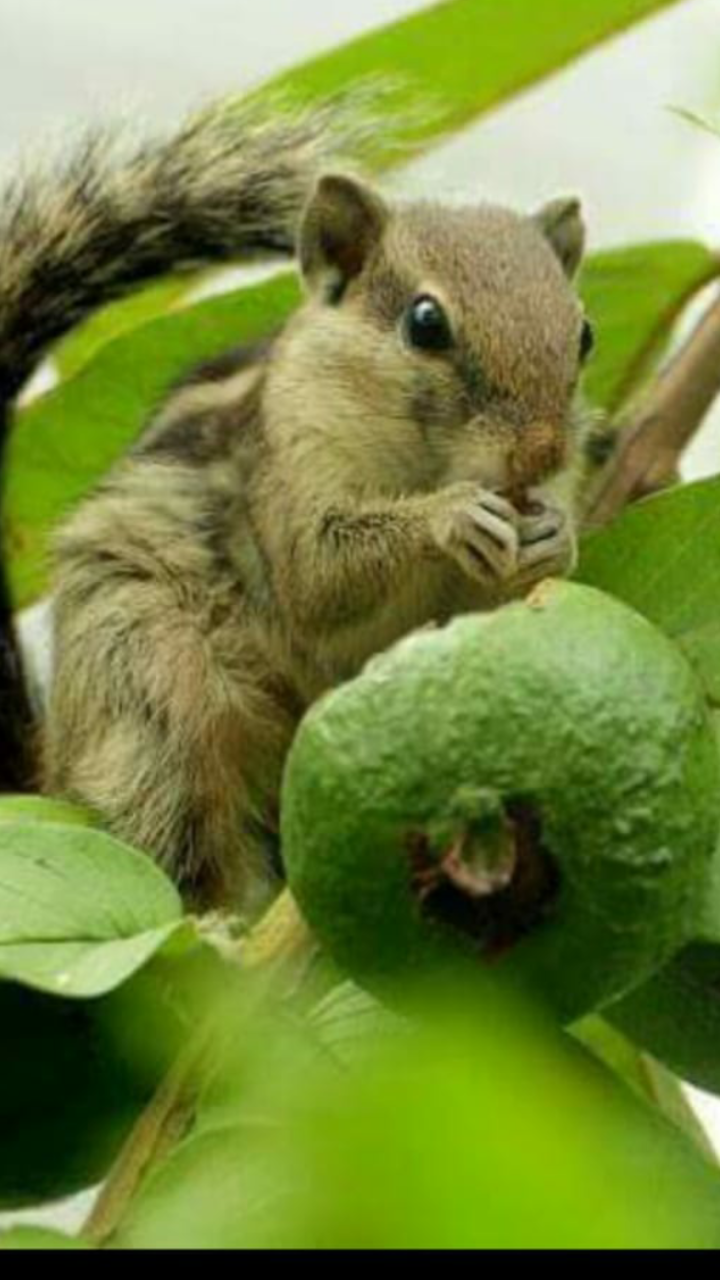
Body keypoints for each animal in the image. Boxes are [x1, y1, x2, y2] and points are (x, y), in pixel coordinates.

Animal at [0, 96, 594, 910]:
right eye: (425, 323)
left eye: (585, 335)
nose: (540, 456)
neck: (420, 462)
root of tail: (50, 763)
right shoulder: (290, 475)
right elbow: (319, 579)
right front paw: (449, 516)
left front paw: (556, 539)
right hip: (148, 675)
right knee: (169, 822)